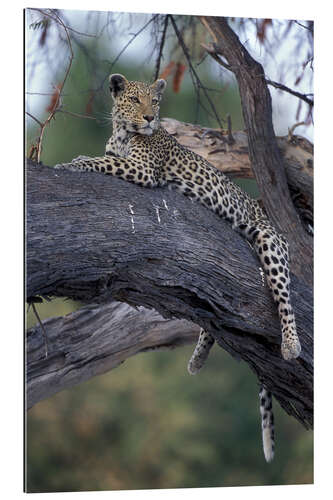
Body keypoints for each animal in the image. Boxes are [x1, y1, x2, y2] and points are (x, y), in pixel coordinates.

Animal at [55, 73, 300, 460]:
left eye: (154, 102)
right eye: (135, 100)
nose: (150, 118)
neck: (122, 132)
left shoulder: (141, 169)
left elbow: (99, 162)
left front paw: (72, 163)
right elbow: (104, 158)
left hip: (269, 243)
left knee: (284, 299)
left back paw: (291, 346)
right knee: (213, 318)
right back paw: (197, 360)